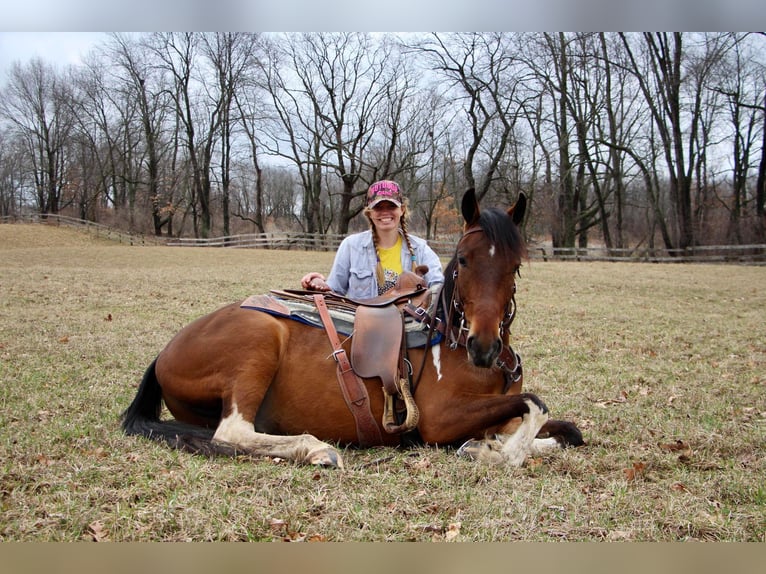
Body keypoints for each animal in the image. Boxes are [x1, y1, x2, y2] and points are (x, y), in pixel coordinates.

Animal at [123, 191, 584, 470]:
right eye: (465, 259)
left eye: (515, 265)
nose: (483, 347)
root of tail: (165, 352)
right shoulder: (438, 419)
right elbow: (533, 406)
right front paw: (493, 451)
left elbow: (566, 431)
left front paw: (486, 444)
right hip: (257, 342)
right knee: (232, 431)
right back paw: (316, 448)